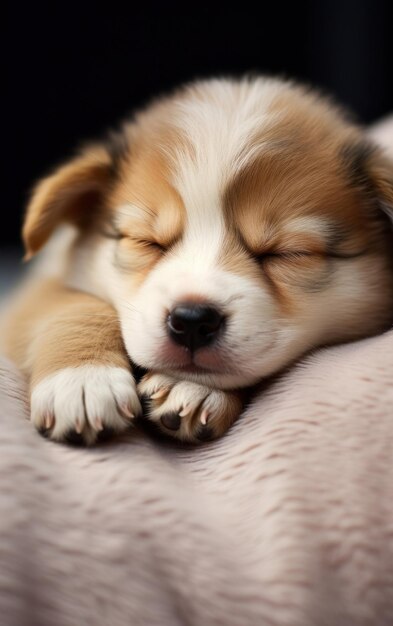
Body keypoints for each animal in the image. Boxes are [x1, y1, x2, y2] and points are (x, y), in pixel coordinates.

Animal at [2, 75, 392, 442]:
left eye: (288, 253)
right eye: (145, 241)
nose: (191, 321)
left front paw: (192, 389)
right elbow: (67, 305)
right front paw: (83, 380)